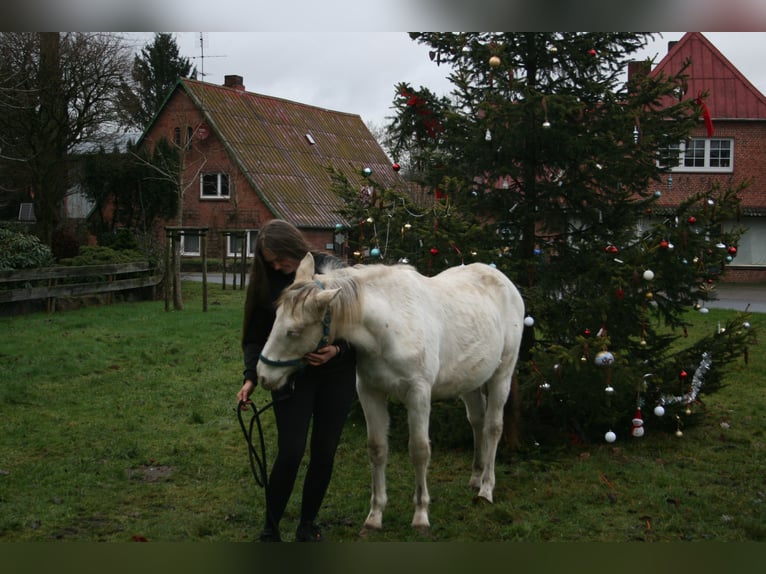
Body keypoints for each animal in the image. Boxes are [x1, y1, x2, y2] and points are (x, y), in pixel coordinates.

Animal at [258, 254, 528, 532]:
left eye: (294, 331)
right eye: (276, 317)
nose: (263, 375)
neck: (389, 325)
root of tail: (504, 280)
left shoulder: (418, 394)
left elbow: (419, 450)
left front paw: (420, 514)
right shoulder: (370, 391)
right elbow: (377, 449)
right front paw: (375, 515)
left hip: (502, 374)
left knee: (493, 427)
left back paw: (486, 488)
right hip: (470, 381)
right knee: (477, 421)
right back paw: (476, 476)